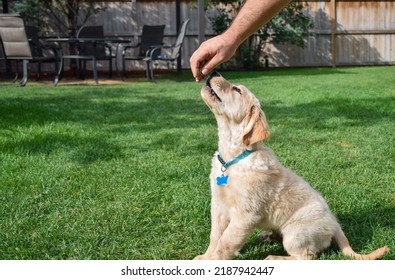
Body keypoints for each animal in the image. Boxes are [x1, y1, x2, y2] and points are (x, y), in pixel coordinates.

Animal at [196, 71, 390, 260]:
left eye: (237, 90)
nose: (214, 72)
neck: (233, 157)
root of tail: (336, 225)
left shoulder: (245, 214)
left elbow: (225, 243)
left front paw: (211, 261)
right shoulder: (218, 205)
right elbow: (216, 236)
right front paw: (205, 256)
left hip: (295, 233)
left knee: (306, 256)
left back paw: (274, 257)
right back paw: (268, 235)